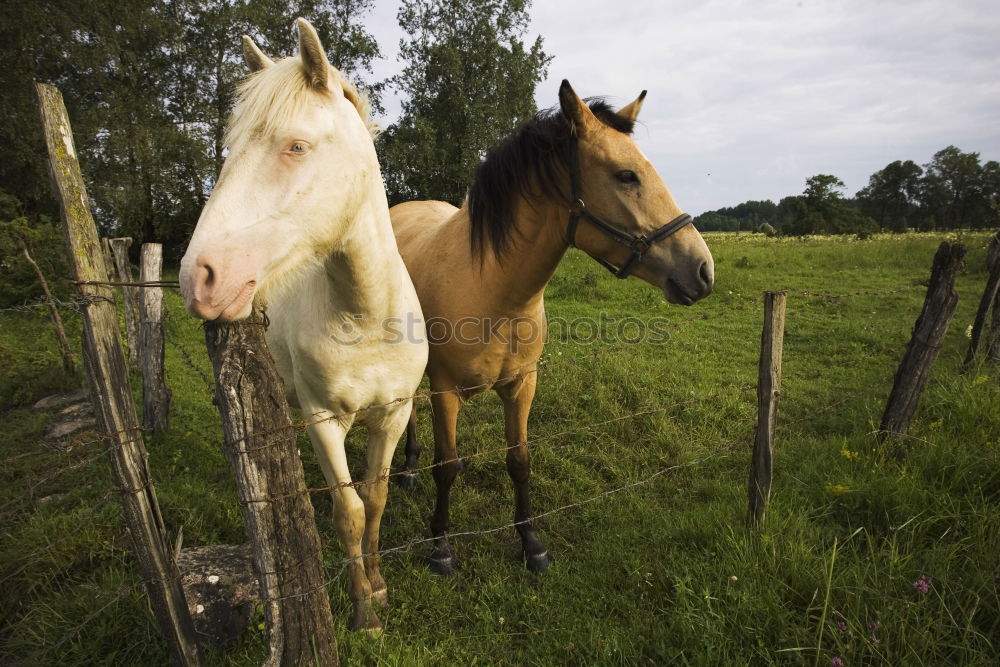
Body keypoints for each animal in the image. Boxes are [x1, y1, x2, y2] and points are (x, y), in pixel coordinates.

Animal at [178, 15, 428, 632]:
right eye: (229, 150)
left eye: (296, 145)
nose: (200, 276)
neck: (366, 319)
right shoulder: (322, 420)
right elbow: (349, 510)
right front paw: (364, 612)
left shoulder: (394, 413)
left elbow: (376, 499)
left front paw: (379, 586)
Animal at [390, 81, 712, 576]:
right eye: (626, 175)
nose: (702, 270)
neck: (491, 290)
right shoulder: (445, 389)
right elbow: (447, 466)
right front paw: (441, 547)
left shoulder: (523, 384)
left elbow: (519, 461)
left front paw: (531, 543)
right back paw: (406, 471)